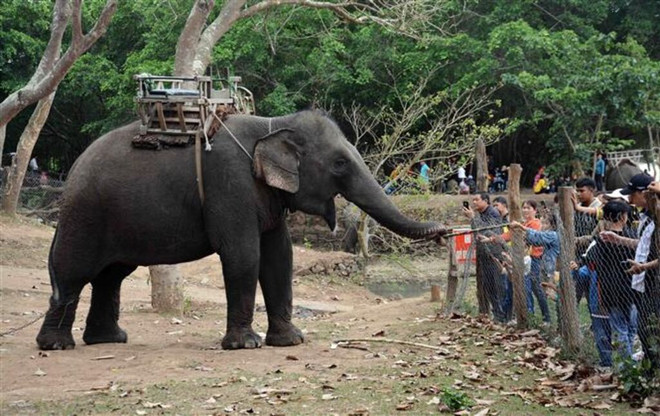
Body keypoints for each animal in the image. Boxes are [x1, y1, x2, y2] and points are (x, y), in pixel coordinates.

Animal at [36, 110, 445, 351]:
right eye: (340, 163)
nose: (445, 231)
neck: (272, 125)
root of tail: (71, 170)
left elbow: (281, 257)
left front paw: (291, 342)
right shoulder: (229, 184)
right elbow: (244, 255)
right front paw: (246, 344)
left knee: (112, 275)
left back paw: (108, 340)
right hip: (85, 213)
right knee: (74, 271)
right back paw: (57, 345)